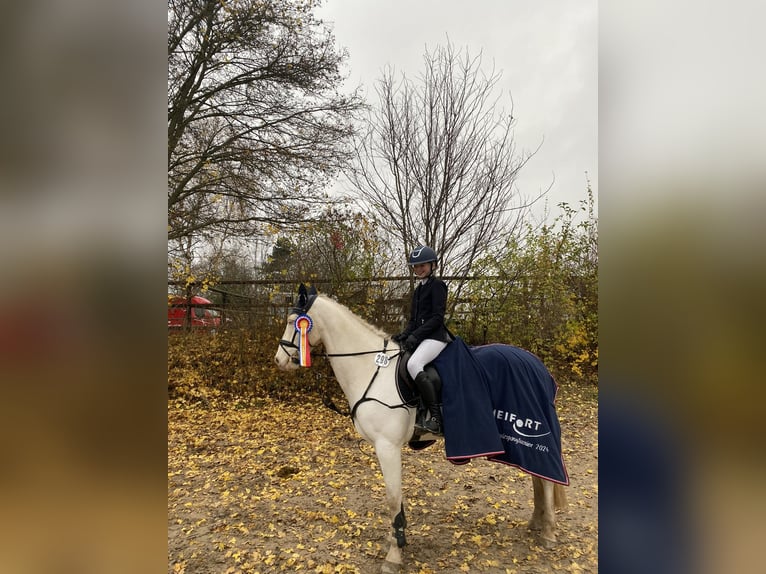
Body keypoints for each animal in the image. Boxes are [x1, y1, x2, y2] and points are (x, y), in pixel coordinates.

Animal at [274, 287, 567, 573]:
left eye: (292, 322)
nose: (279, 360)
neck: (371, 368)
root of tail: (537, 365)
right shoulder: (386, 448)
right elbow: (396, 499)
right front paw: (397, 539)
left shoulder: (387, 446)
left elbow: (393, 499)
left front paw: (394, 556)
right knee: (538, 476)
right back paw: (536, 522)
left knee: (546, 479)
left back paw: (548, 533)